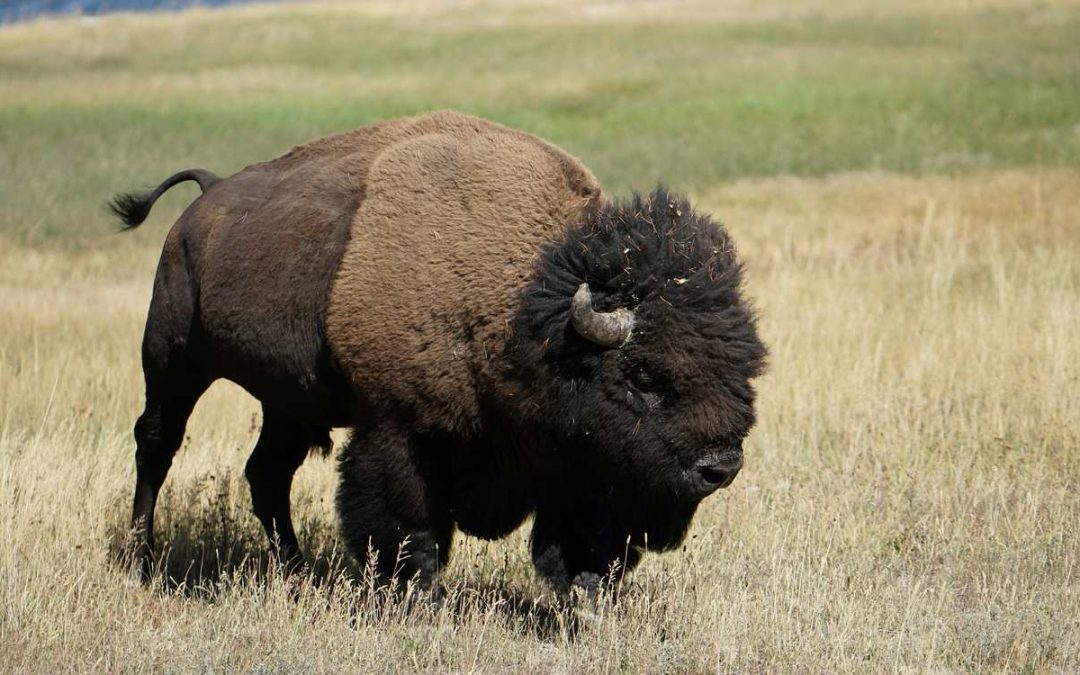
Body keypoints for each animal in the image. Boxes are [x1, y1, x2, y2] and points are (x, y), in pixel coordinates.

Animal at [112, 111, 766, 592]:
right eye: (641, 377)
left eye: (744, 373)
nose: (719, 467)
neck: (523, 315)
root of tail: (206, 199)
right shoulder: (398, 429)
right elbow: (408, 524)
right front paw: (415, 593)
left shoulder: (579, 464)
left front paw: (584, 596)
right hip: (172, 358)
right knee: (158, 443)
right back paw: (143, 561)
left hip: (289, 403)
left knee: (267, 474)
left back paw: (296, 573)